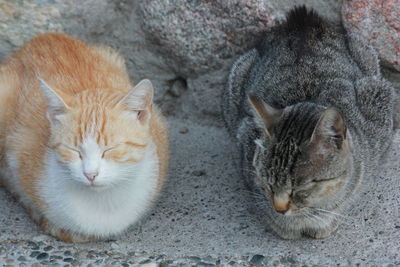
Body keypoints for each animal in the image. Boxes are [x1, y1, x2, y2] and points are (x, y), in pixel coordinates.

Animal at [222, 5, 400, 241]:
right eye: (268, 182)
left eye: (301, 186)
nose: (280, 208)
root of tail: (301, 21)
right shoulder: (244, 151)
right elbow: (260, 201)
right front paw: (281, 223)